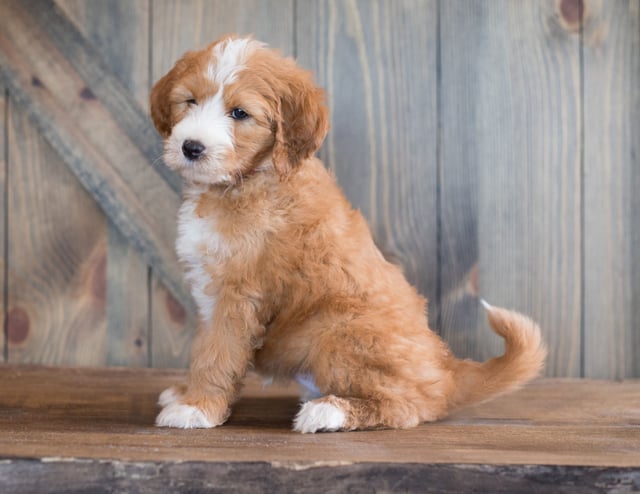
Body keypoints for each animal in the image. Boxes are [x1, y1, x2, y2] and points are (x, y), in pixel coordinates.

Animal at [150, 34, 544, 432]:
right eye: (190, 101)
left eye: (240, 114)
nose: (191, 147)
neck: (248, 180)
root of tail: (447, 373)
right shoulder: (212, 293)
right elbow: (203, 347)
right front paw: (186, 393)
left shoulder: (238, 294)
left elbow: (218, 352)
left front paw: (197, 408)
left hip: (339, 328)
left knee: (410, 406)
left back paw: (329, 411)